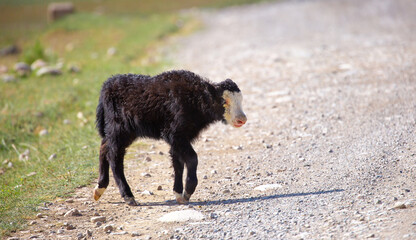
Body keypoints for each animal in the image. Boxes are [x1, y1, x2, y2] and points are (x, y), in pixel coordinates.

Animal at [92, 70, 245, 205]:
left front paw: (179, 194)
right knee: (114, 157)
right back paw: (128, 197)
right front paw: (188, 191)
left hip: (123, 132)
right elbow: (192, 158)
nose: (242, 119)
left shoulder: (180, 138)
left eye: (241, 100)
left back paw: (99, 189)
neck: (194, 98)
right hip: (119, 129)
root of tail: (106, 85)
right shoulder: (175, 134)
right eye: (224, 100)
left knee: (104, 147)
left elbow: (178, 162)